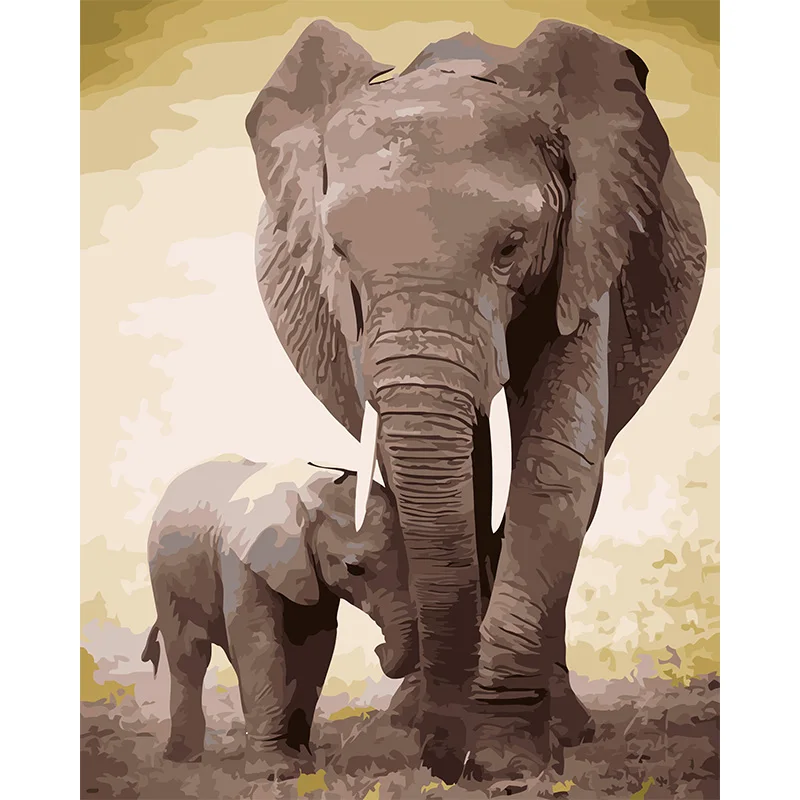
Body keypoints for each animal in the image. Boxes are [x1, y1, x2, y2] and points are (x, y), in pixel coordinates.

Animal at [141, 456, 418, 780]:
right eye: (355, 569)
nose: (380, 649)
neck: (310, 497)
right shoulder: (241, 558)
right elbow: (259, 641)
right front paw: (276, 771)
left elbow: (315, 645)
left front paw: (303, 764)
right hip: (165, 577)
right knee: (188, 657)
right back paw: (182, 759)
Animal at [245, 18, 706, 783]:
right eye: (339, 253)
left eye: (511, 246)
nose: (445, 754)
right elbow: (419, 466)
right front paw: (453, 739)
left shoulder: (587, 247)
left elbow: (556, 458)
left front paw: (508, 759)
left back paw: (563, 726)